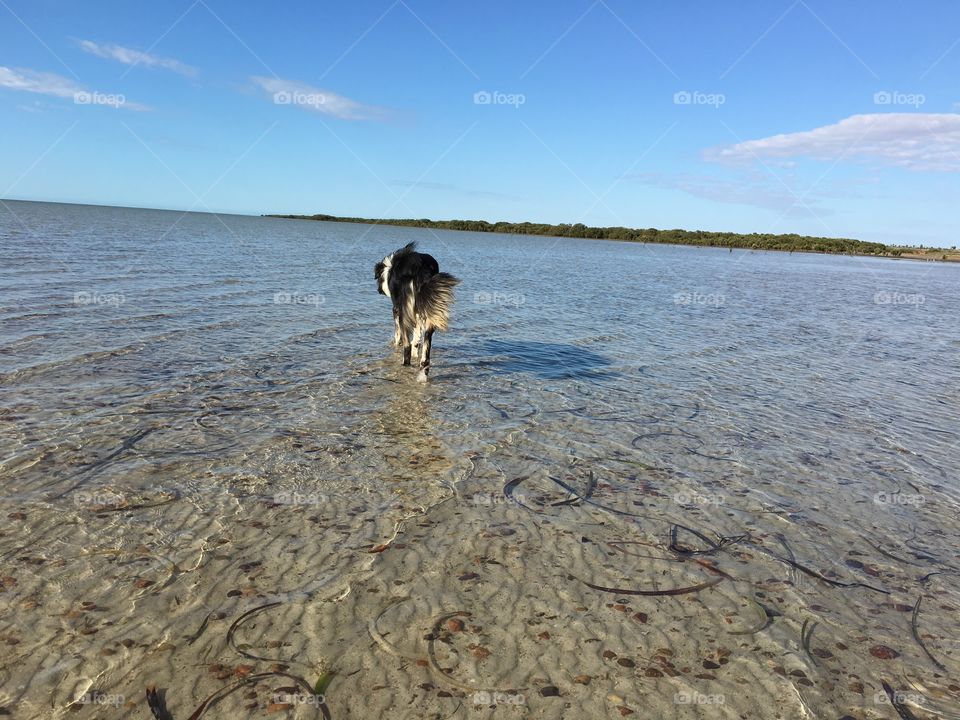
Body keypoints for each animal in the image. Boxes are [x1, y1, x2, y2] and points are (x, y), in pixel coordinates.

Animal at [374, 242, 460, 382]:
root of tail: (420, 267)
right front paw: (416, 352)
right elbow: (417, 337)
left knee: (407, 346)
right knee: (425, 349)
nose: (378, 290)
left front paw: (396, 344)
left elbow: (399, 334)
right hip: (429, 310)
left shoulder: (397, 309)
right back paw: (422, 372)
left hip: (404, 311)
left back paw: (405, 364)